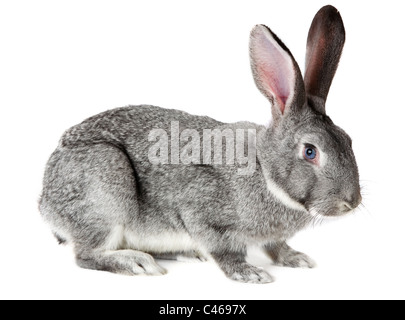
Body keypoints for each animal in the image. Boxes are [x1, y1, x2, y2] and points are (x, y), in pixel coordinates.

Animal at [38, 5, 360, 282]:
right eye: (310, 151)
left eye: (348, 140)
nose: (351, 202)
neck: (265, 171)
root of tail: (45, 202)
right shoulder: (201, 213)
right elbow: (224, 249)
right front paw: (249, 273)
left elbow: (275, 246)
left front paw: (295, 258)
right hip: (104, 183)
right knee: (86, 254)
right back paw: (136, 262)